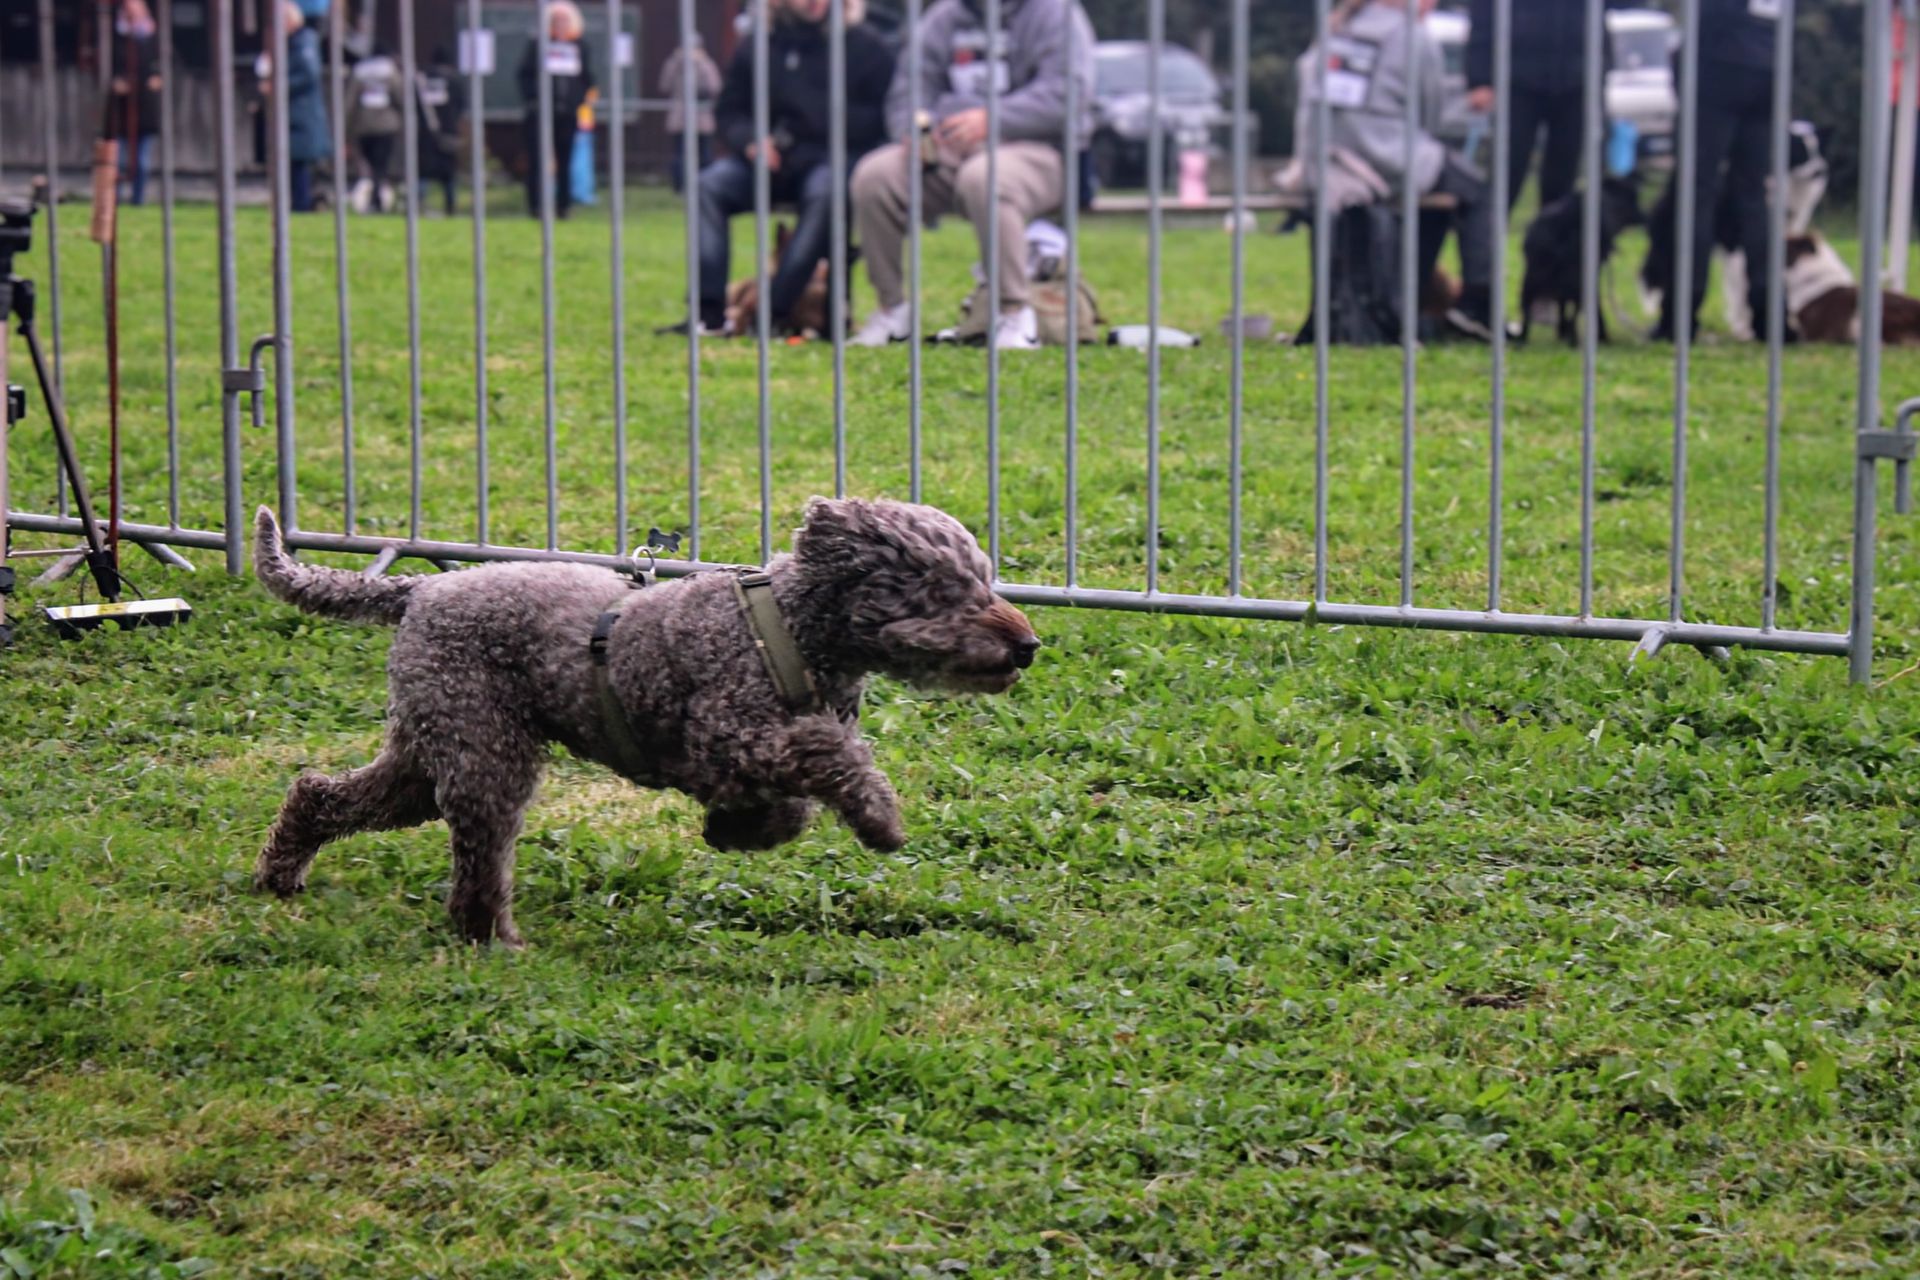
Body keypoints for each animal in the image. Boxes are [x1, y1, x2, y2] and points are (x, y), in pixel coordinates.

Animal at [251, 498, 1040, 947]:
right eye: (943, 588)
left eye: (985, 579)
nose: (1029, 645)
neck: (785, 629)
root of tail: (419, 588)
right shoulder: (726, 736)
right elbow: (828, 752)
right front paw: (878, 818)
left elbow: (791, 806)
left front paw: (733, 831)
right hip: (485, 755)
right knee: (478, 859)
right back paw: (490, 937)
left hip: (435, 747)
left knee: (326, 793)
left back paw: (281, 872)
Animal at [1518, 177, 1645, 344]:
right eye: (1633, 198)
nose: (1645, 216)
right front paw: (1601, 336)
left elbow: (1562, 306)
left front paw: (1562, 332)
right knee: (1574, 312)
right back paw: (1574, 339)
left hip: (1530, 281)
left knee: (1526, 311)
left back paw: (1522, 339)